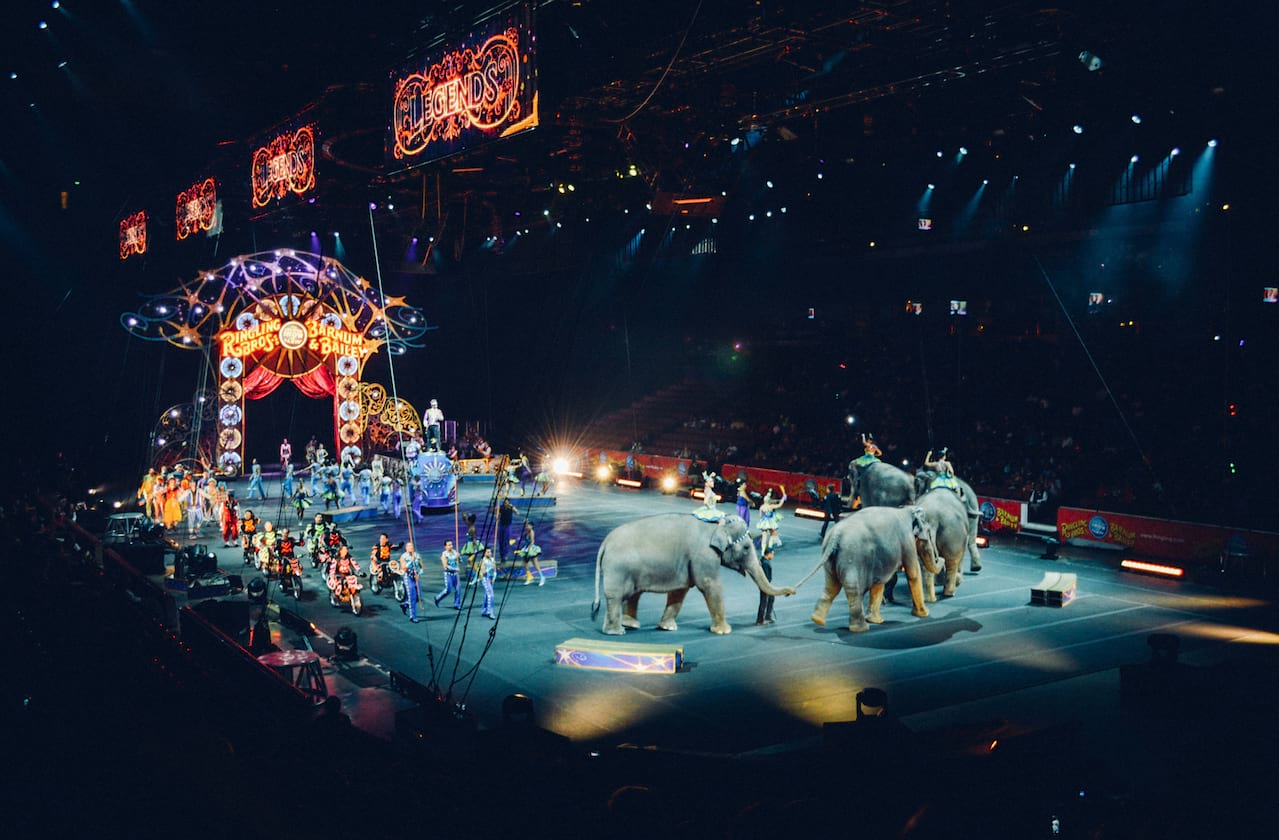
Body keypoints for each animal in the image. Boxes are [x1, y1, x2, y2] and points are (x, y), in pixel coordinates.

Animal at [590, 511, 792, 636]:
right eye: (746, 547)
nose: (791, 592)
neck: (716, 525)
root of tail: (605, 541)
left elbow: (680, 591)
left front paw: (667, 628)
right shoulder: (704, 555)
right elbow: (710, 585)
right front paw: (724, 631)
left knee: (634, 594)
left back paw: (630, 624)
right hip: (618, 569)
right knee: (616, 597)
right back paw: (616, 631)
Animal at [803, 503, 946, 629]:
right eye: (929, 532)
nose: (941, 558)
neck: (906, 509)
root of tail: (835, 536)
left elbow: (879, 582)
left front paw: (876, 620)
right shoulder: (907, 541)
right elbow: (913, 574)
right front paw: (924, 614)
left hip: (831, 558)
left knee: (831, 586)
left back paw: (817, 620)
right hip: (852, 557)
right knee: (852, 589)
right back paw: (860, 628)